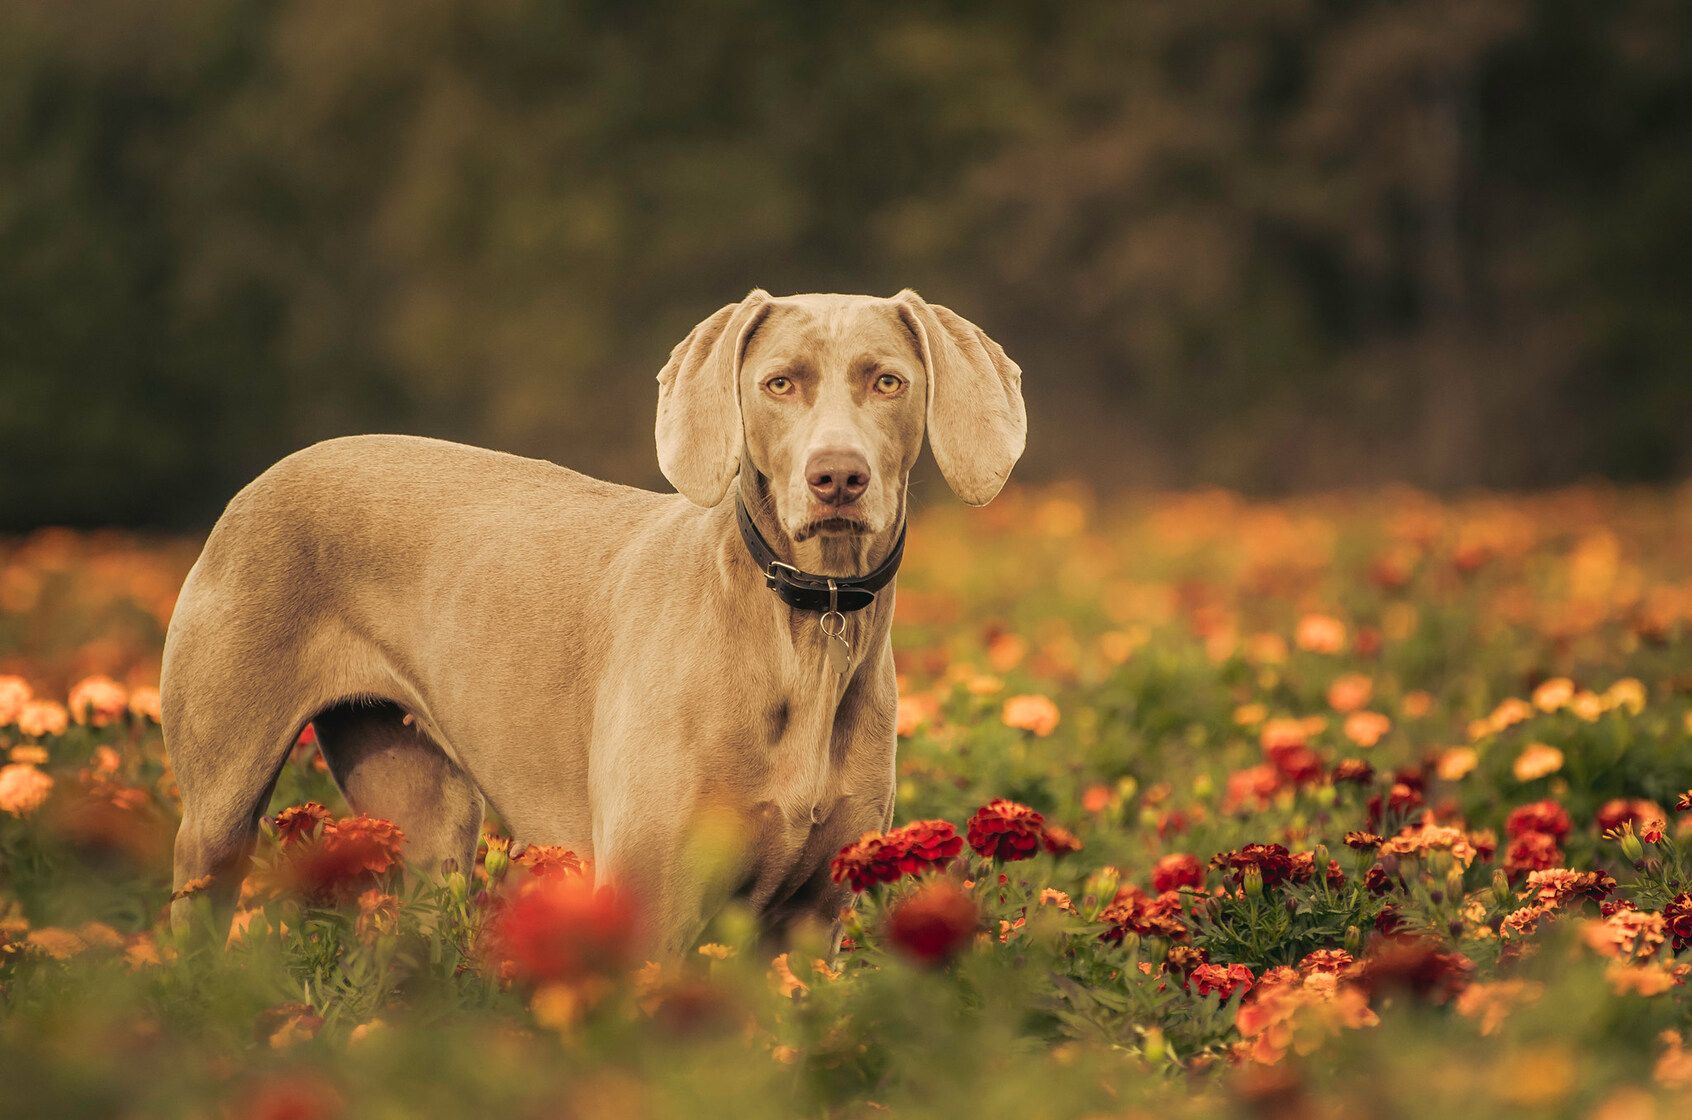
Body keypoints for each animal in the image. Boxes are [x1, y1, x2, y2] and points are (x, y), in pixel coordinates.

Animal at [164, 290, 1021, 954]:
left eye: (888, 381)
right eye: (780, 383)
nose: (837, 477)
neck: (806, 626)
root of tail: (263, 477)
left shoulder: (811, 918)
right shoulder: (653, 903)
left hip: (430, 819)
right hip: (220, 812)